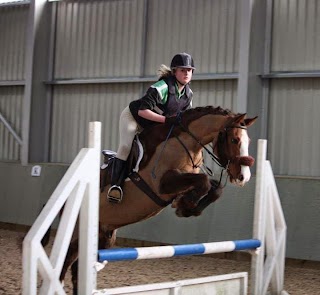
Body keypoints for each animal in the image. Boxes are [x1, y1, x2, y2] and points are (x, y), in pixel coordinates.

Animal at [59, 106, 258, 294]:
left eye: (248, 141)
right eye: (234, 140)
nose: (244, 177)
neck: (186, 144)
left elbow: (215, 188)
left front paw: (186, 206)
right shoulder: (163, 184)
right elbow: (203, 182)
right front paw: (185, 205)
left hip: (104, 237)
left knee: (77, 270)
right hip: (75, 235)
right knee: (64, 267)